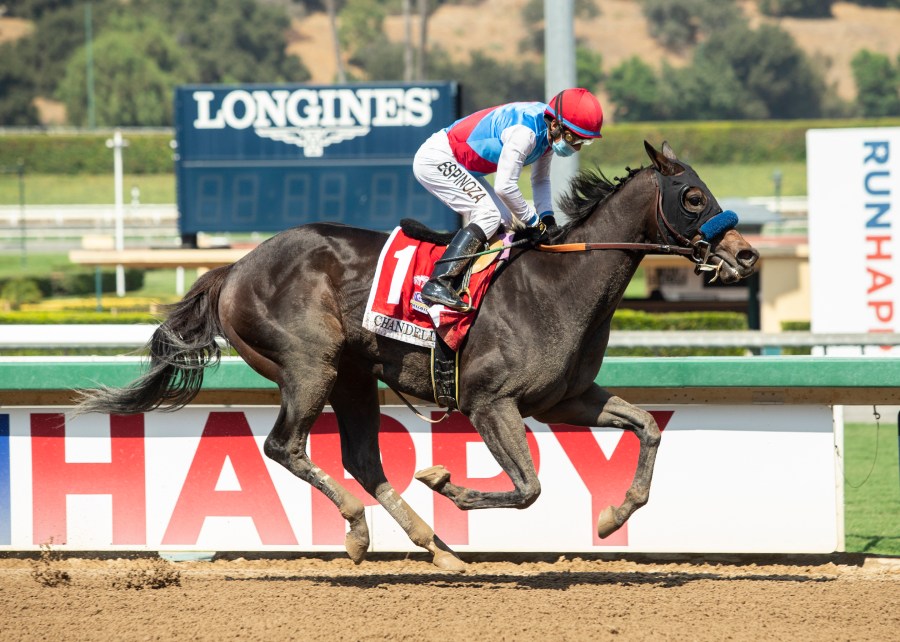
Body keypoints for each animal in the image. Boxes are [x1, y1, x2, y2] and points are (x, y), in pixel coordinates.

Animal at [74, 141, 760, 568]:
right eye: (692, 197)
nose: (747, 254)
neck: (559, 284)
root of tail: (237, 266)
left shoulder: (566, 400)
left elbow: (647, 427)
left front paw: (616, 514)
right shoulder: (491, 403)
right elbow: (528, 487)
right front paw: (444, 481)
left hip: (353, 377)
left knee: (360, 458)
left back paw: (435, 546)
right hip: (311, 365)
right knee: (285, 446)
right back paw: (359, 529)